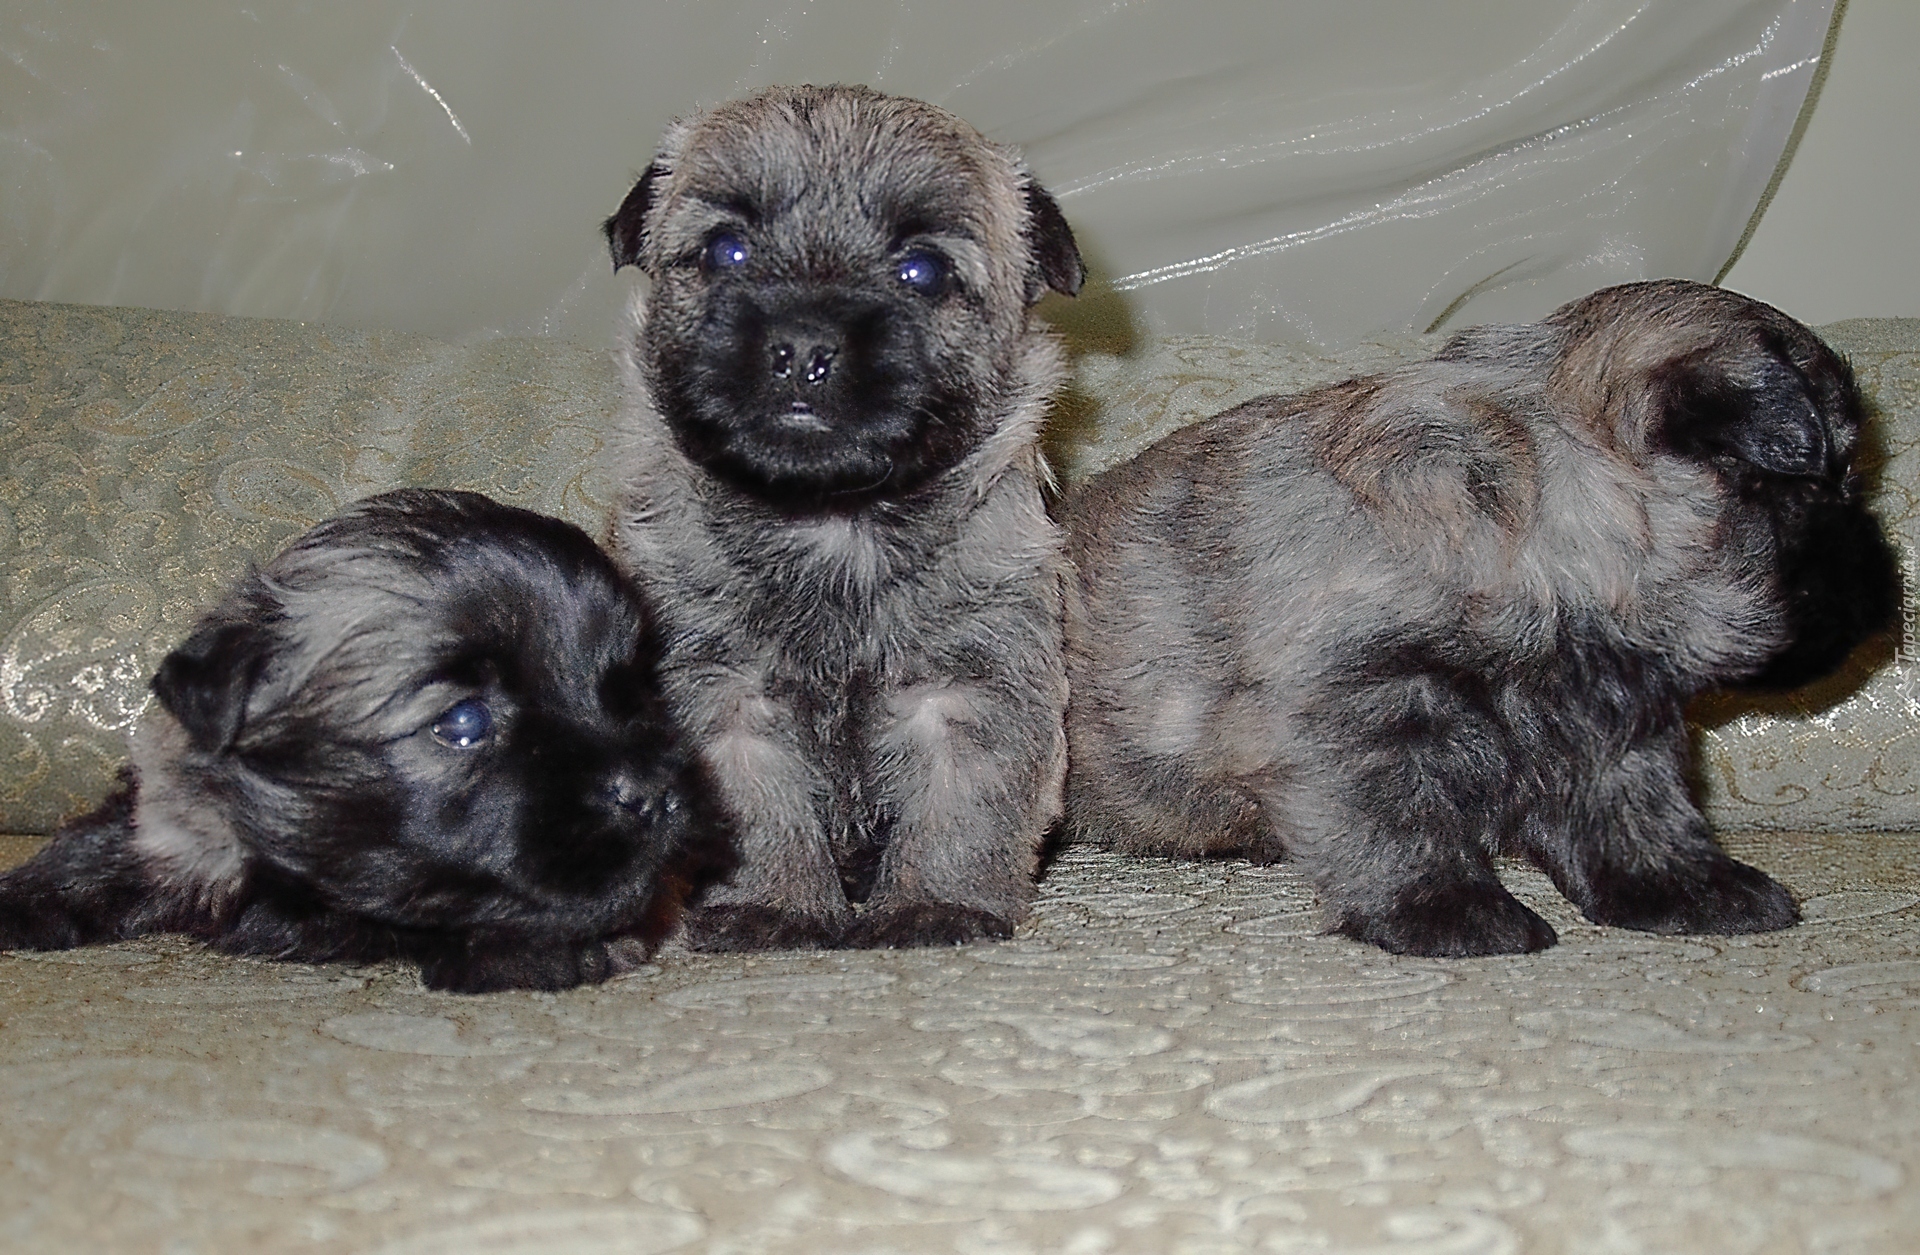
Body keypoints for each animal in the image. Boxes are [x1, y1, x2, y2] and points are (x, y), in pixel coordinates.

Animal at [599, 85, 1082, 955]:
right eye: (727, 250)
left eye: (922, 270)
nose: (801, 346)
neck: (829, 522)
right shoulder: (722, 696)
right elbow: (758, 810)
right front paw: (773, 905)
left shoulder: (970, 691)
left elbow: (961, 809)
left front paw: (936, 904)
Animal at [1067, 280, 1904, 959]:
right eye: (1823, 490)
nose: (1886, 582)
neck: (1535, 539)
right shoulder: (1359, 717)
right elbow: (1399, 823)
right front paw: (1449, 912)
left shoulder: (1614, 730)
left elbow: (1644, 819)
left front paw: (1689, 890)